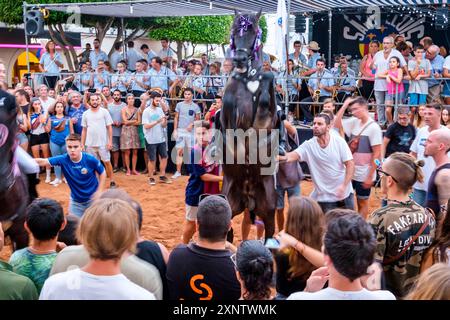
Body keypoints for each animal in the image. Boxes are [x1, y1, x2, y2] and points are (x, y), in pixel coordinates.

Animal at [216, 10, 286, 240]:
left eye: (254, 31)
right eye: (233, 32)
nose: (239, 59)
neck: (249, 82)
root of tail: (249, 199)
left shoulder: (268, 119)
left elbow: (268, 83)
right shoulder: (227, 118)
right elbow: (229, 110)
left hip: (269, 210)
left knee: (269, 234)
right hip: (228, 203)